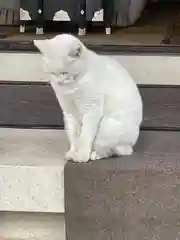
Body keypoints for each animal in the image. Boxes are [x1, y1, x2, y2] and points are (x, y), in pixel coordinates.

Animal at [33, 34, 143, 163]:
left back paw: (95, 154)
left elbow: (85, 136)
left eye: (64, 73)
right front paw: (72, 153)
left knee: (114, 150)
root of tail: (131, 144)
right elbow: (74, 136)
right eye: (51, 73)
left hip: (108, 128)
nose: (58, 82)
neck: (71, 88)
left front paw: (81, 155)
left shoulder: (91, 110)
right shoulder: (69, 113)